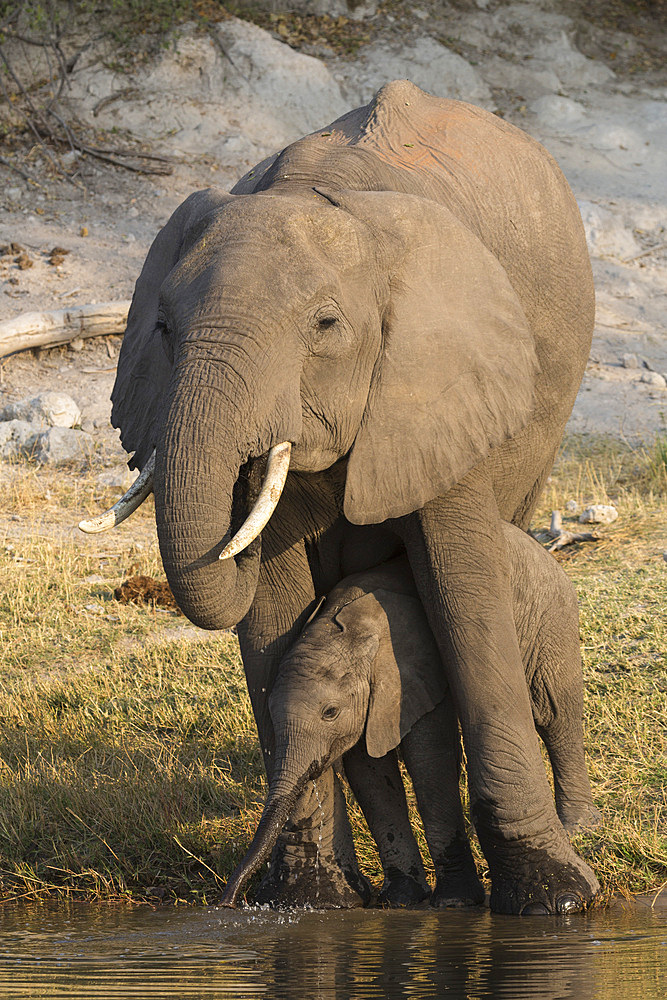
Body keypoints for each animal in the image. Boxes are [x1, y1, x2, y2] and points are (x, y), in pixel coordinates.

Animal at [223, 528, 600, 912]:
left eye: (330, 712)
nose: (228, 903)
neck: (346, 632)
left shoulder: (415, 669)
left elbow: (429, 755)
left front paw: (454, 903)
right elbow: (369, 769)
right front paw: (401, 900)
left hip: (551, 613)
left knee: (555, 713)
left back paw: (578, 827)